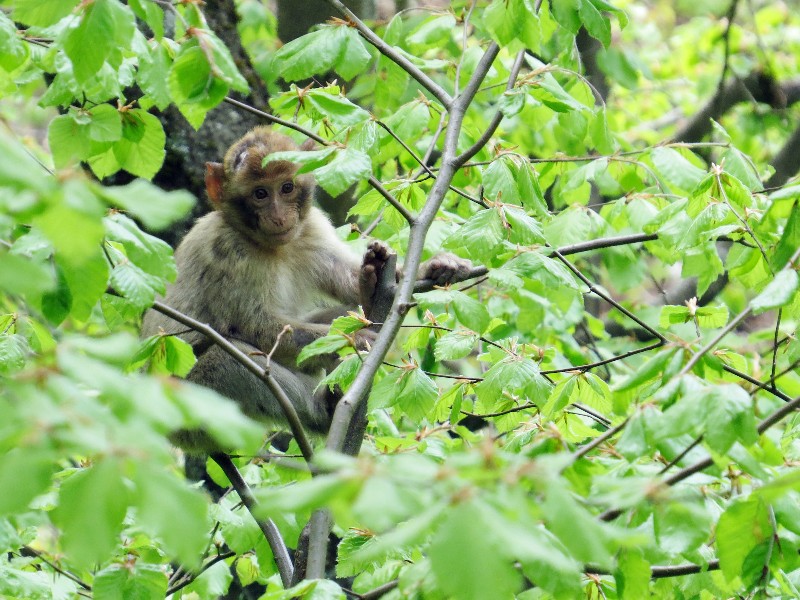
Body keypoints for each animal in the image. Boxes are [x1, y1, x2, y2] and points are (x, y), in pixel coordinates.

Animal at [141, 127, 472, 450]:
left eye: (286, 188)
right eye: (260, 193)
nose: (278, 216)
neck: (269, 246)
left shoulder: (311, 227)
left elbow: (343, 281)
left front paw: (430, 267)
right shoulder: (227, 251)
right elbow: (252, 327)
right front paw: (356, 338)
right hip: (186, 409)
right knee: (228, 360)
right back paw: (324, 413)